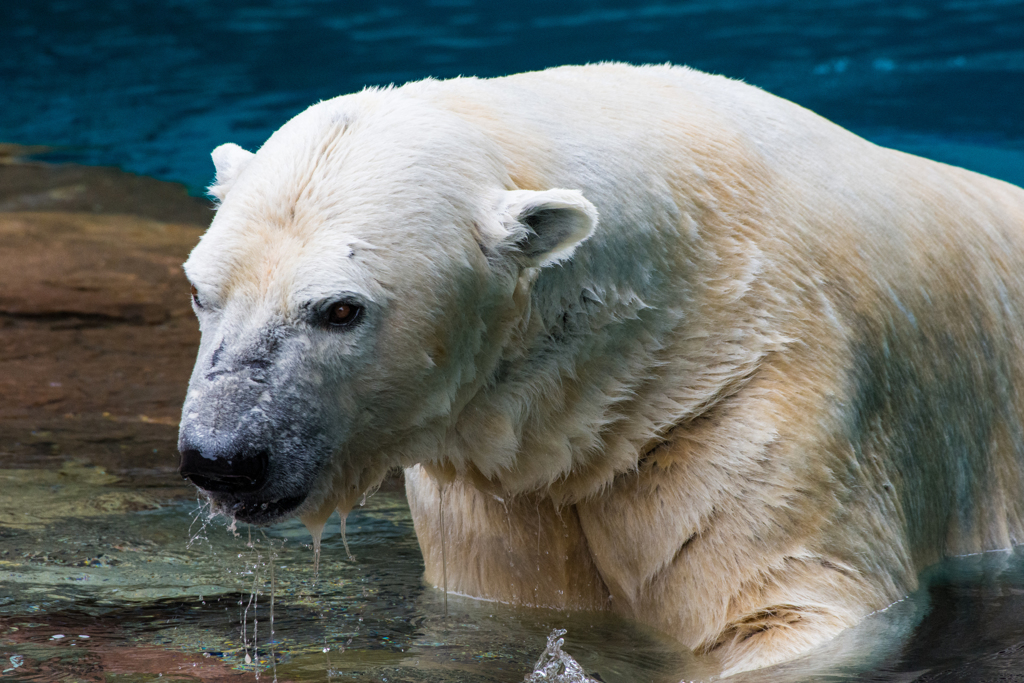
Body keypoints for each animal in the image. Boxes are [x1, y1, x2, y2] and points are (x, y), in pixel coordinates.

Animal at [180, 62, 1024, 671]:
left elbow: (789, 607)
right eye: (200, 288)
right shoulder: (505, 478)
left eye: (340, 309)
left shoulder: (756, 389)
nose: (224, 456)